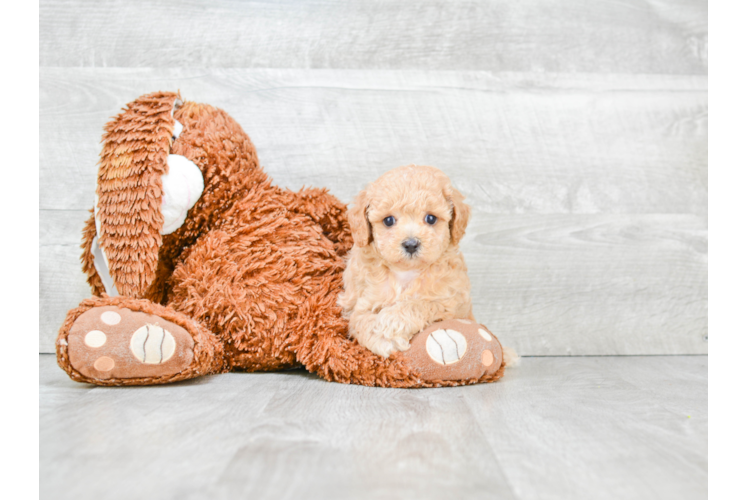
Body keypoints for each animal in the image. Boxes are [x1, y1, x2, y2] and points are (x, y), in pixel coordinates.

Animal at [338, 166, 474, 358]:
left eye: (431, 218)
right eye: (388, 220)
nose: (411, 244)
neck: (405, 272)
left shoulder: (453, 303)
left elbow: (419, 304)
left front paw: (390, 324)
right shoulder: (362, 303)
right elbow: (360, 320)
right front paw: (382, 338)